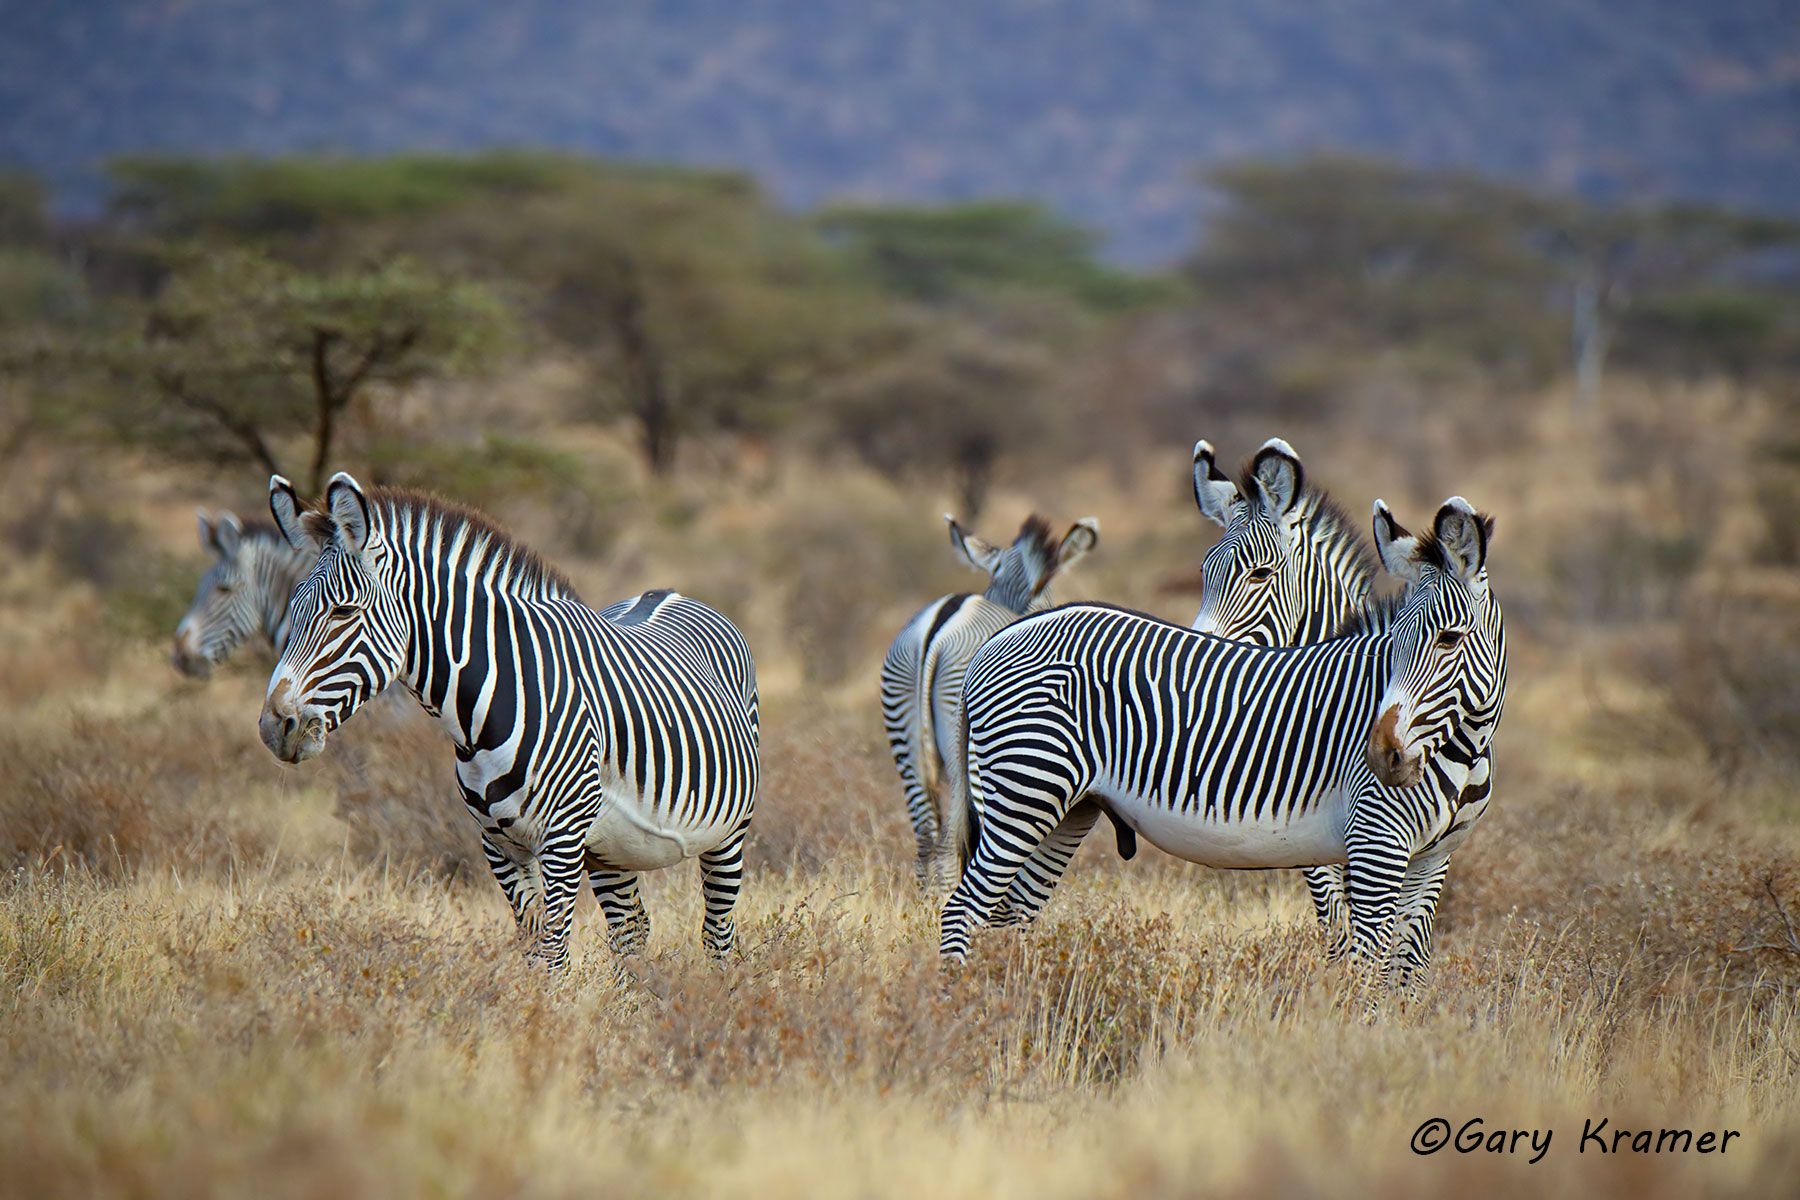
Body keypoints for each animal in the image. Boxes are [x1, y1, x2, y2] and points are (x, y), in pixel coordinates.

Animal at [257, 472, 760, 971]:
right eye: (292, 609)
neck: (479, 720)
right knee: (631, 931)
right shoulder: (498, 844)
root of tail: (667, 592)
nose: (273, 725)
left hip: (729, 832)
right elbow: (532, 950)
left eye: (344, 611)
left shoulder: (563, 839)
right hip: (610, 849)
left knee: (717, 931)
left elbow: (553, 957)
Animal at [936, 496, 1506, 987]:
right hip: (1024, 791)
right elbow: (1365, 964)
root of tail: (1005, 634)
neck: (1466, 745)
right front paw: (1355, 1030)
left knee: (1009, 918)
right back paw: (959, 1006)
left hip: (1067, 808)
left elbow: (1408, 971)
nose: (1383, 757)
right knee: (962, 909)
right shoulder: (1374, 844)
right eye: (1395, 643)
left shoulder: (1433, 859)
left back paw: (1010, 1001)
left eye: (1449, 639)